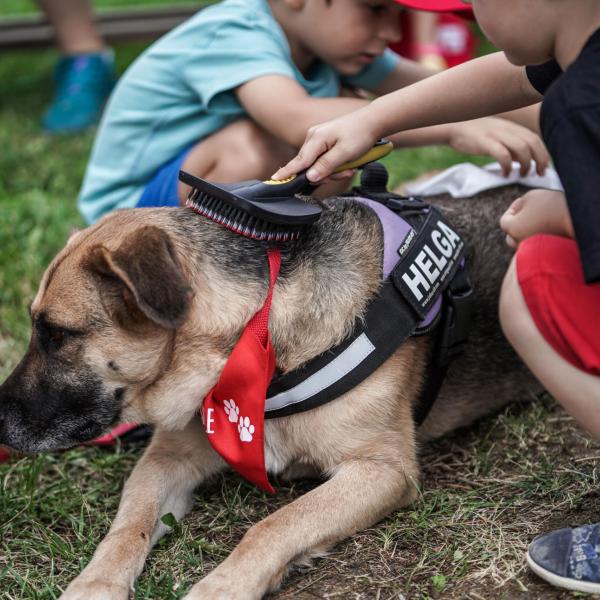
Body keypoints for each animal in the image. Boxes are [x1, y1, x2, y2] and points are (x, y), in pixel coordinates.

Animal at [0, 185, 540, 596]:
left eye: (56, 334)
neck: (255, 339)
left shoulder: (382, 470)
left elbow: (274, 525)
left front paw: (221, 586)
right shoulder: (166, 460)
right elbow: (125, 529)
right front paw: (95, 583)